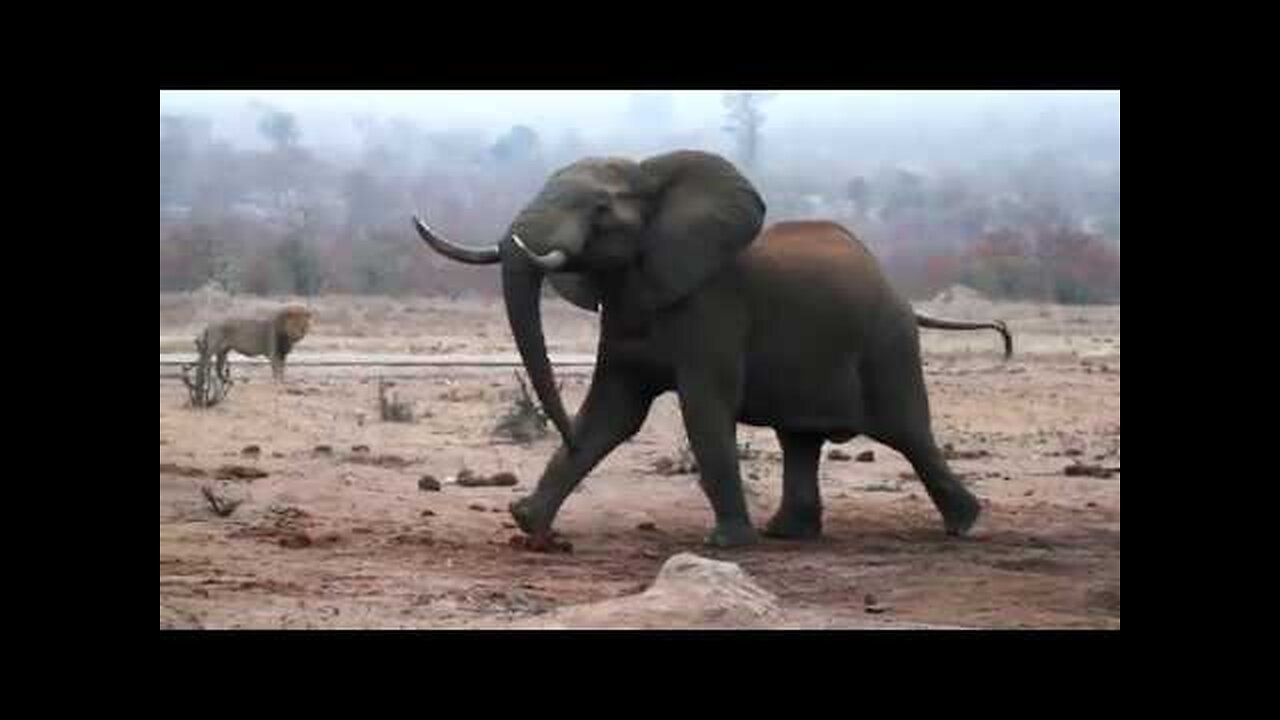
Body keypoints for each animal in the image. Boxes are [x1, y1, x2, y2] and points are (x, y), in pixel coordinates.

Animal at [414, 149, 1013, 543]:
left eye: (601, 210)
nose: (560, 431)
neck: (654, 177)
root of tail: (900, 293)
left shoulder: (713, 307)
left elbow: (703, 408)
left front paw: (727, 545)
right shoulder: (628, 306)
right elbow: (613, 412)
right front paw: (526, 522)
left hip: (886, 342)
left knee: (907, 433)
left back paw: (964, 524)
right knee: (800, 438)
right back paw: (787, 535)